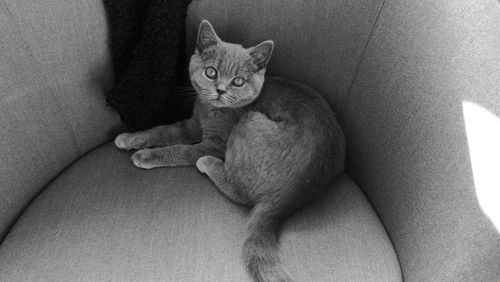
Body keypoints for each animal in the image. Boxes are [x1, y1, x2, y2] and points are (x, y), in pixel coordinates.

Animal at [115, 20, 346, 282]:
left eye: (238, 81)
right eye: (211, 72)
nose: (221, 90)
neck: (210, 110)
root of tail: (294, 195)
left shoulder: (215, 144)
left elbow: (181, 150)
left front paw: (146, 155)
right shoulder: (192, 125)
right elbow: (163, 130)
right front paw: (131, 138)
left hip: (249, 122)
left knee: (241, 193)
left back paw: (207, 164)